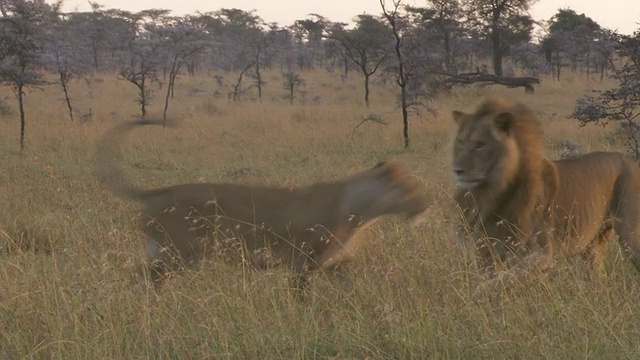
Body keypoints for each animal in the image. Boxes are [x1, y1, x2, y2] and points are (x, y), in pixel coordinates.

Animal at [96, 118, 430, 292]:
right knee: (141, 279)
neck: (362, 210)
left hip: (169, 256)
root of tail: (157, 192)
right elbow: (302, 298)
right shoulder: (301, 263)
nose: (426, 205)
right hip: (177, 253)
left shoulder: (334, 264)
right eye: (410, 189)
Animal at [452, 97, 640, 298]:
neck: (494, 191)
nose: (457, 170)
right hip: (592, 245)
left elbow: (499, 282)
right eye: (461, 142)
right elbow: (490, 280)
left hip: (631, 238)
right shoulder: (486, 252)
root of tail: (632, 162)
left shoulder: (541, 254)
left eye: (480, 144)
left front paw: (472, 297)